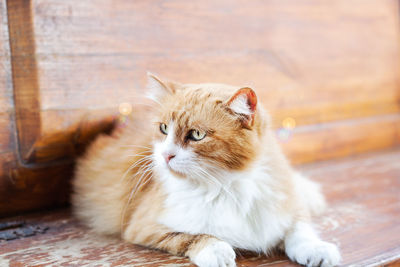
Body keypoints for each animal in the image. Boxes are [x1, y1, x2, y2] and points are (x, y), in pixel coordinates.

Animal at [72, 72, 340, 266]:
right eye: (163, 129)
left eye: (197, 135)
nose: (165, 155)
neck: (228, 185)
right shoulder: (143, 226)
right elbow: (191, 236)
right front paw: (217, 250)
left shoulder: (285, 207)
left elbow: (300, 231)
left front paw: (317, 249)